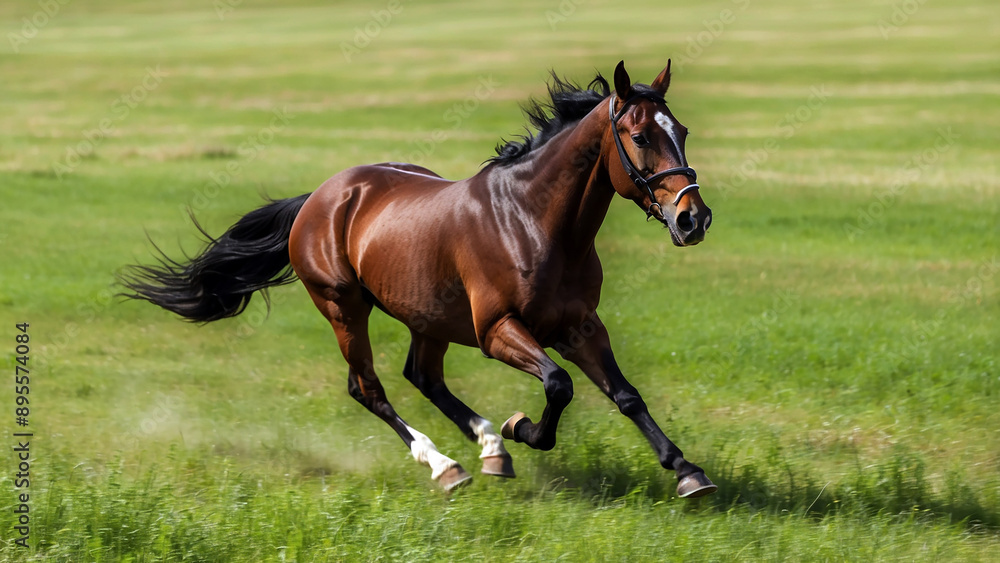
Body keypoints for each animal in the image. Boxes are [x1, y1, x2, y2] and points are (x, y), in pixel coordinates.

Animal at [120, 60, 717, 498]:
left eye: (683, 131)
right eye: (639, 137)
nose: (694, 218)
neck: (533, 221)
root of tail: (319, 198)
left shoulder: (580, 327)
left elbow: (626, 395)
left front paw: (688, 471)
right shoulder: (497, 330)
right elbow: (558, 385)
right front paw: (520, 428)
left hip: (428, 317)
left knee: (422, 377)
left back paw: (489, 451)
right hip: (344, 308)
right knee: (369, 387)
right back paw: (447, 465)